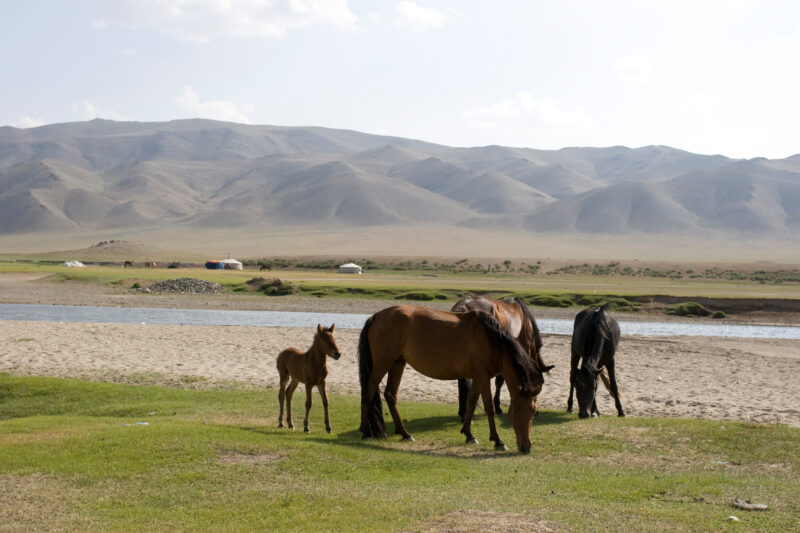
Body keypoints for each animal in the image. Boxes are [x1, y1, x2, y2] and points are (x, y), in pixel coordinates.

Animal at [358, 305, 545, 453]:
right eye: (516, 411)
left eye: (533, 412)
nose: (526, 446)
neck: (491, 340)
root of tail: (376, 316)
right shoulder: (483, 377)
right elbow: (489, 408)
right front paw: (498, 441)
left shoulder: (478, 377)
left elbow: (471, 403)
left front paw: (469, 435)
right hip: (382, 364)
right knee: (368, 392)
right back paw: (366, 431)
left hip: (398, 362)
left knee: (390, 395)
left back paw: (405, 433)